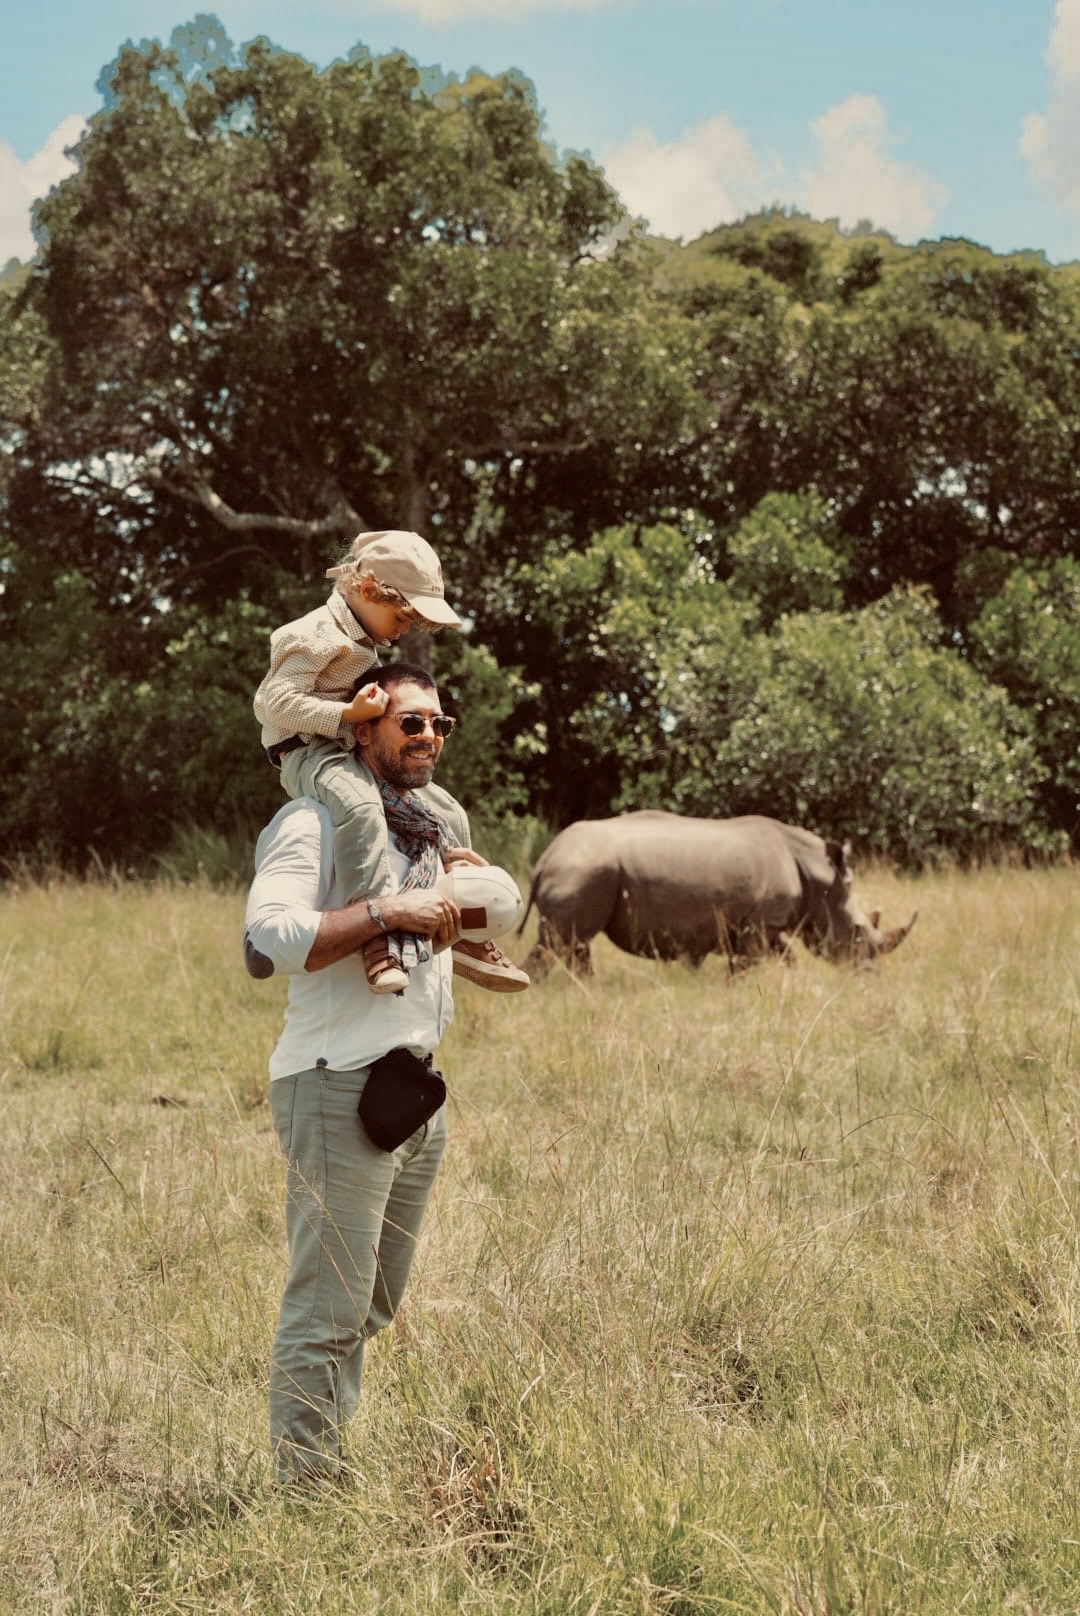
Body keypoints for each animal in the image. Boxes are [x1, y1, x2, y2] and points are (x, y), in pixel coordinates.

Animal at [518, 810, 916, 979]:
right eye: (858, 933)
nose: (870, 973)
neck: (819, 878)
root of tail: (544, 860)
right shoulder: (761, 926)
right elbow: (751, 963)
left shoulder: (762, 927)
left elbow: (784, 958)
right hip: (581, 870)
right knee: (559, 942)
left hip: (581, 869)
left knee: (574, 944)